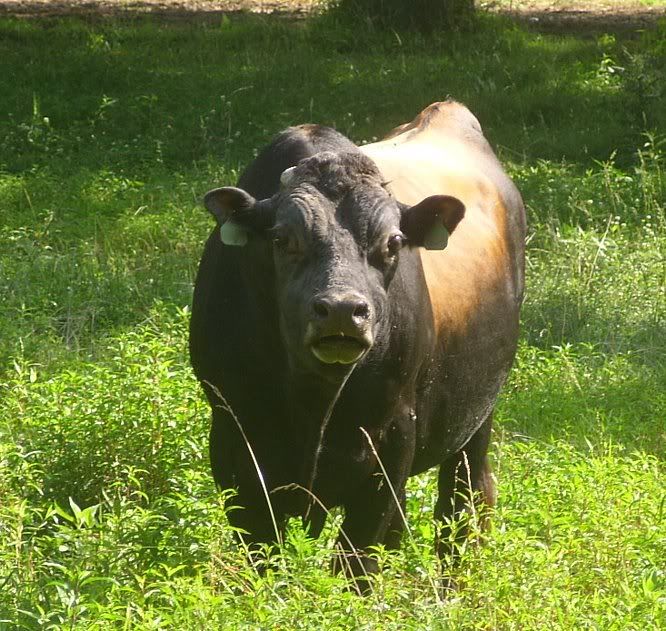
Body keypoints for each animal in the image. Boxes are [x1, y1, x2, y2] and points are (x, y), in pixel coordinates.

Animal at [189, 101, 525, 587]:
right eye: (282, 239)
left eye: (393, 242)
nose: (343, 310)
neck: (312, 401)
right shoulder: (234, 441)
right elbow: (264, 555)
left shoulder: (391, 441)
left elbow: (358, 560)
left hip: (478, 415)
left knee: (465, 501)